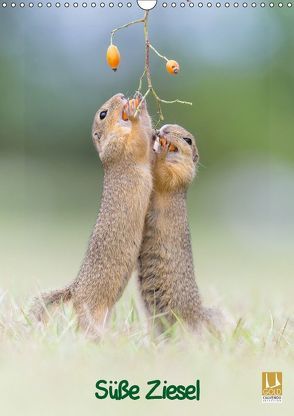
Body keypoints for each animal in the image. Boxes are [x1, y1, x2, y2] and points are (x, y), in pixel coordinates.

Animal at [31, 92, 153, 336]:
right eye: (103, 114)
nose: (121, 95)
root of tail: (75, 290)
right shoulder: (120, 148)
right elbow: (139, 141)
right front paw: (135, 114)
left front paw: (140, 104)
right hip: (91, 309)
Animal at [137, 123, 215, 334]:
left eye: (188, 140)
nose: (164, 129)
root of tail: (198, 315)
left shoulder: (180, 174)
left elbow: (164, 175)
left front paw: (161, 152)